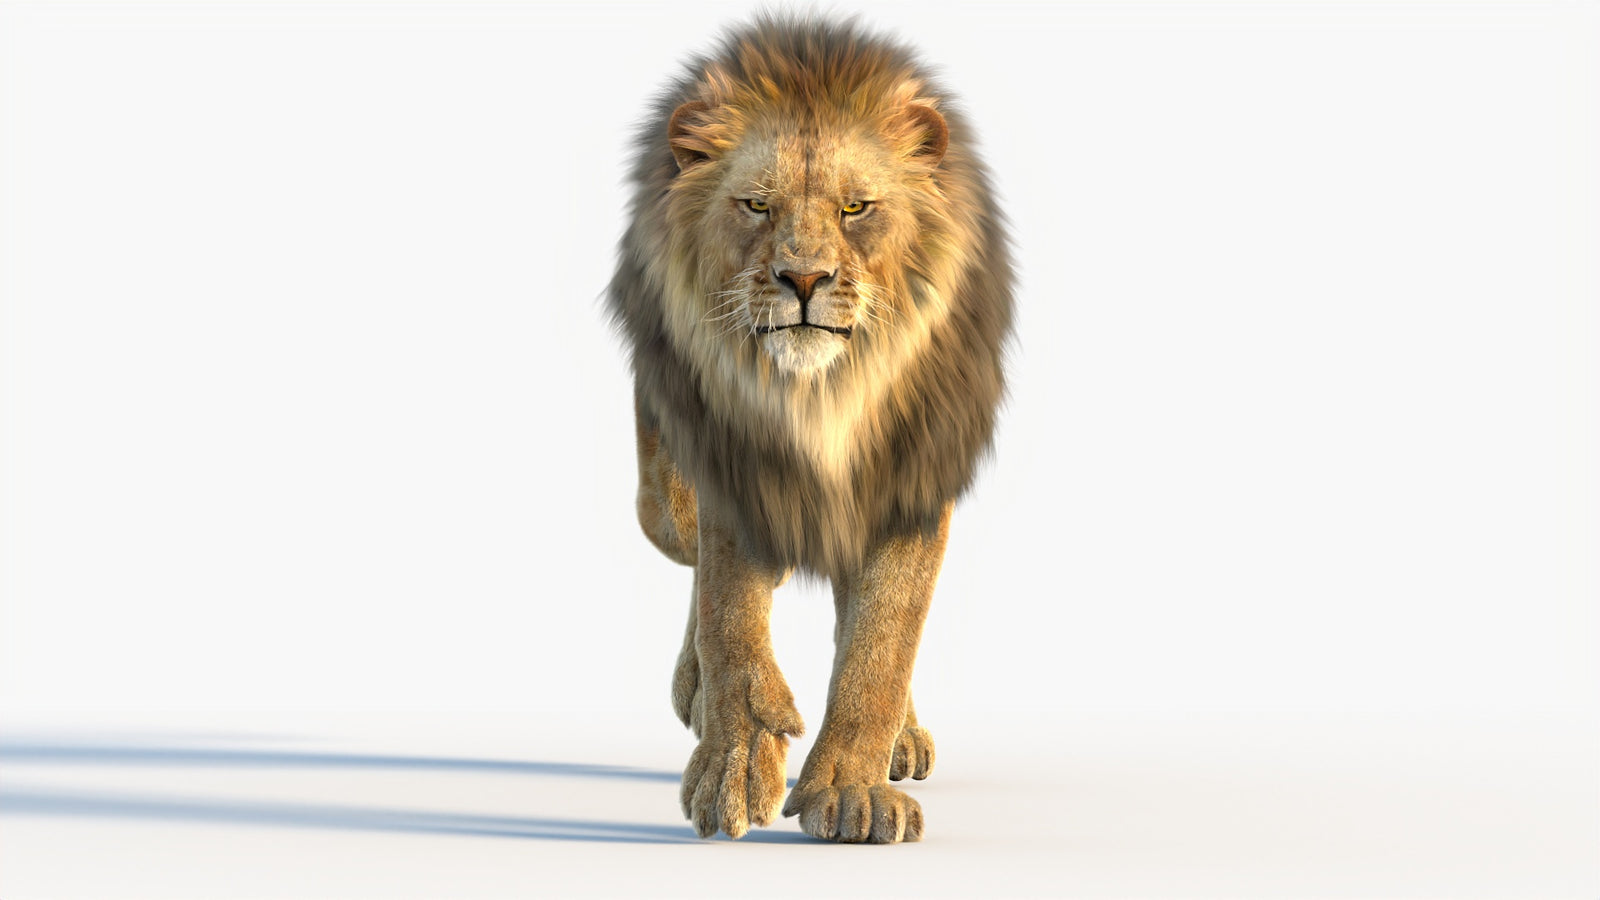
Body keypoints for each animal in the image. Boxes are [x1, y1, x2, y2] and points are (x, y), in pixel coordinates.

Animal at [606, 16, 1013, 844]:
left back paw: (900, 738)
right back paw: (697, 690)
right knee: (689, 553)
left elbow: (883, 639)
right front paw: (735, 765)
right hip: (660, 494)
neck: (825, 396)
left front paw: (853, 793)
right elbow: (730, 615)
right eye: (757, 206)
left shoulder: (914, 477)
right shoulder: (731, 466)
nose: (803, 279)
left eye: (856, 209)